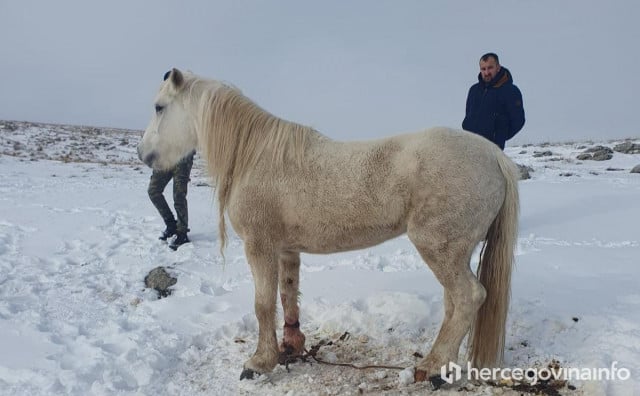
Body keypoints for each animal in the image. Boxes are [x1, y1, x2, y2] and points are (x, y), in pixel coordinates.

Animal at [138, 68, 516, 384]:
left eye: (159, 108)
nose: (144, 154)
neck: (254, 156)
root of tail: (493, 154)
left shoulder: (259, 246)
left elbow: (263, 304)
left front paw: (259, 362)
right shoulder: (286, 249)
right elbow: (287, 295)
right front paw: (290, 347)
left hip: (439, 248)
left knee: (468, 297)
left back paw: (433, 369)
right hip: (455, 253)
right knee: (454, 303)